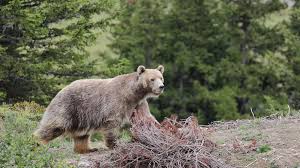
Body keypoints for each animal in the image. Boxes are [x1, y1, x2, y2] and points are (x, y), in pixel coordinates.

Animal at [34, 64, 165, 154]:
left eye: (161, 77)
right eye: (152, 79)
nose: (161, 87)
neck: (132, 93)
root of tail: (60, 91)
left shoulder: (139, 103)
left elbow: (147, 117)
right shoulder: (116, 102)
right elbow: (112, 123)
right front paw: (114, 144)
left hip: (82, 116)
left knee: (82, 134)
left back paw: (88, 149)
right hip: (68, 107)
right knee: (54, 126)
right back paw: (36, 142)